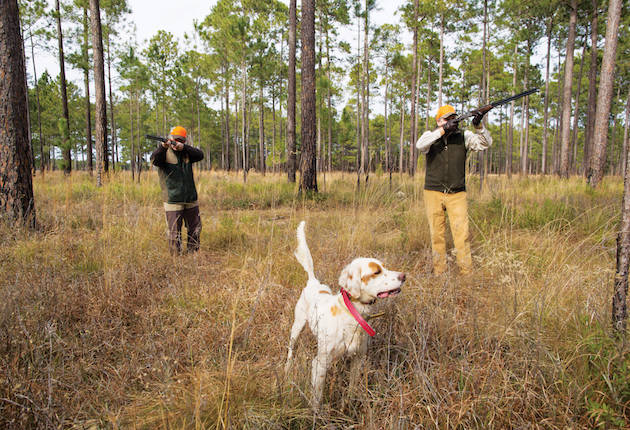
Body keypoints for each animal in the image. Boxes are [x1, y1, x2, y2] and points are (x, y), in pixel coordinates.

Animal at [288, 222, 408, 406]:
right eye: (376, 272)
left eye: (385, 267)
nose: (404, 276)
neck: (352, 315)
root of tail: (313, 281)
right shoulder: (320, 363)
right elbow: (317, 398)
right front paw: (315, 413)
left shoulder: (358, 358)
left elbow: (352, 388)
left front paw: (349, 404)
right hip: (297, 326)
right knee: (291, 348)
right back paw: (286, 368)